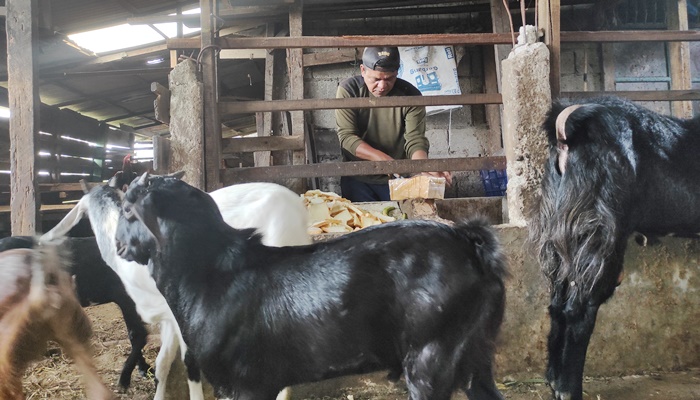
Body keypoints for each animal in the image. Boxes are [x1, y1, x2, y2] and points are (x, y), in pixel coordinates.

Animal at [115, 173, 508, 400]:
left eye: (128, 210)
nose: (117, 244)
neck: (212, 274)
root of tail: (470, 242)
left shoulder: (247, 383)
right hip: (476, 351)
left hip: (431, 353)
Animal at [532, 97, 700, 400]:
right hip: (598, 235)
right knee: (579, 309)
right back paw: (569, 389)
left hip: (561, 233)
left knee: (557, 304)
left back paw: (553, 380)